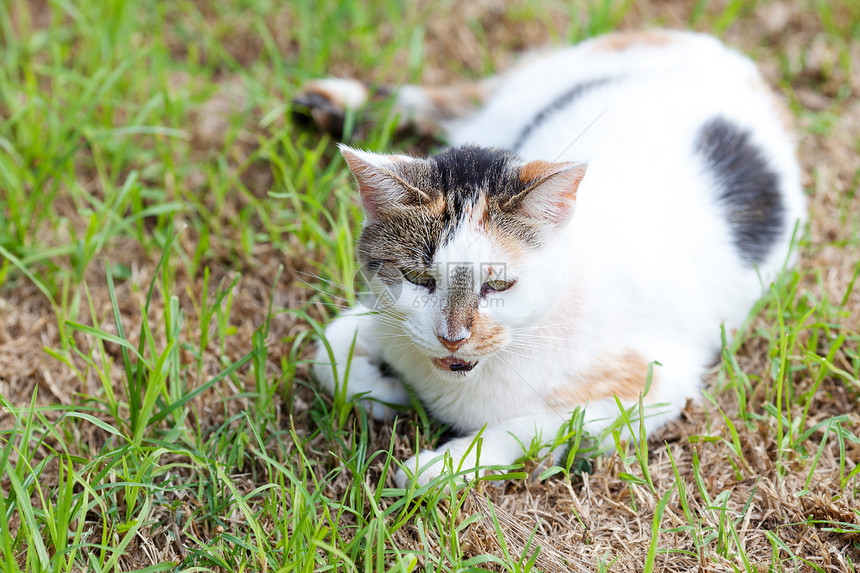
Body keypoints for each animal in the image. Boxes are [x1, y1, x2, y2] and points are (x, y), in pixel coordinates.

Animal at [300, 30, 808, 488]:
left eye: (498, 285)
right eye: (417, 278)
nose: (452, 339)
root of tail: (714, 48)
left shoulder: (657, 383)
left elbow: (537, 426)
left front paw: (441, 465)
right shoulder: (386, 316)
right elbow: (325, 350)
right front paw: (384, 393)